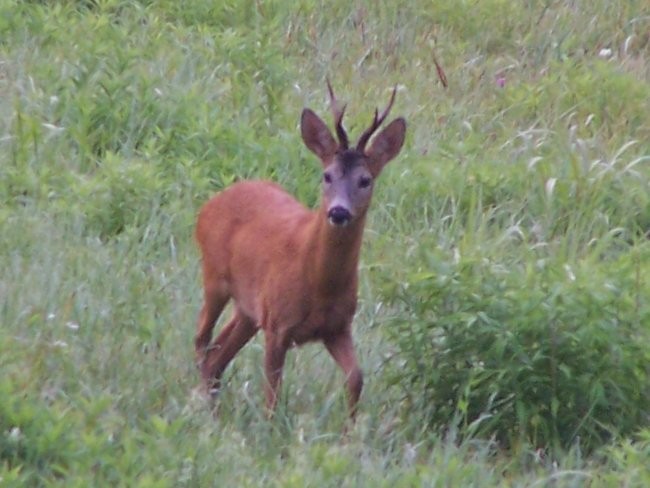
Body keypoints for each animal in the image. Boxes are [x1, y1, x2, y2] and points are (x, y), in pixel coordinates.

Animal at [192, 81, 404, 420]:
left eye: (365, 180)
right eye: (327, 175)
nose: (339, 212)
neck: (319, 283)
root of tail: (213, 202)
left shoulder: (338, 327)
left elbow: (356, 378)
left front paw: (350, 429)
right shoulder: (278, 325)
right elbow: (272, 394)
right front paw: (270, 426)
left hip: (249, 309)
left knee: (217, 354)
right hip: (214, 276)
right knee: (202, 338)